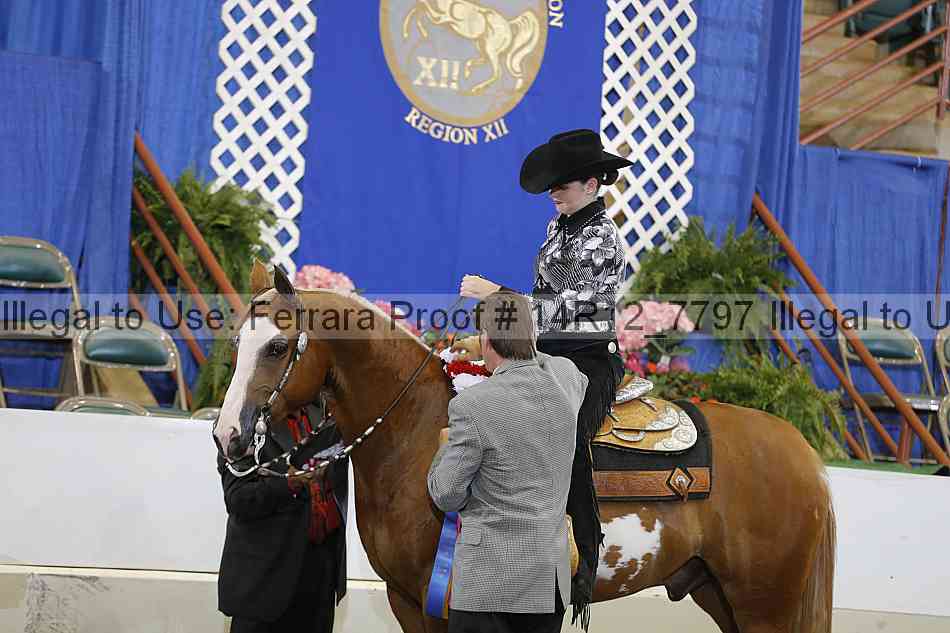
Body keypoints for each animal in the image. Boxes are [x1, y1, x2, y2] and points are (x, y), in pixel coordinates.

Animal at [213, 261, 836, 633]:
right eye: (238, 341)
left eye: (276, 347)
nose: (228, 435)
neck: (415, 434)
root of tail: (801, 453)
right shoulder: (407, 601)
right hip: (718, 592)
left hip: (765, 604)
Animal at [402, 0, 541, 95]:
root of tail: (510, 25)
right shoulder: (441, 18)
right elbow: (419, 7)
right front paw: (419, 32)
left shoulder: (441, 18)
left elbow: (421, 5)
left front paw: (409, 32)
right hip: (481, 45)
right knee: (485, 61)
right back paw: (468, 70)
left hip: (490, 48)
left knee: (497, 72)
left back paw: (477, 88)